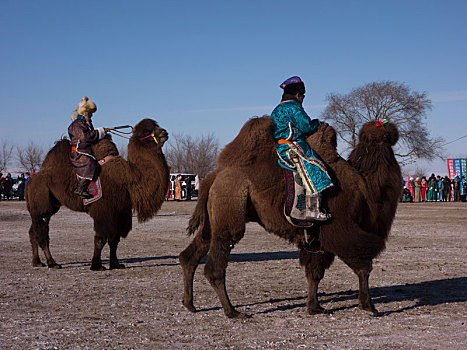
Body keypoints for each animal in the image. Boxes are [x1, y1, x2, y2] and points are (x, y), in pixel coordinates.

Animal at [26, 119, 170, 270]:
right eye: (147, 131)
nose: (164, 132)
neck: (129, 178)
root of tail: (30, 180)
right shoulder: (104, 211)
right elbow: (101, 239)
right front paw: (96, 265)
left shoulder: (121, 212)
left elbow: (114, 240)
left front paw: (116, 264)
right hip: (40, 207)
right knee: (41, 234)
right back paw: (52, 263)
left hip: (49, 207)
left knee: (34, 232)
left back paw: (37, 262)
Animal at [179, 117, 402, 318]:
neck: (366, 189)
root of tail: (213, 177)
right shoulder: (341, 231)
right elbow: (364, 267)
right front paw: (369, 307)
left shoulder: (317, 239)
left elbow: (314, 272)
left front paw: (315, 307)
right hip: (229, 213)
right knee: (215, 266)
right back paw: (232, 311)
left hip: (212, 221)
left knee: (191, 254)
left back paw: (190, 304)